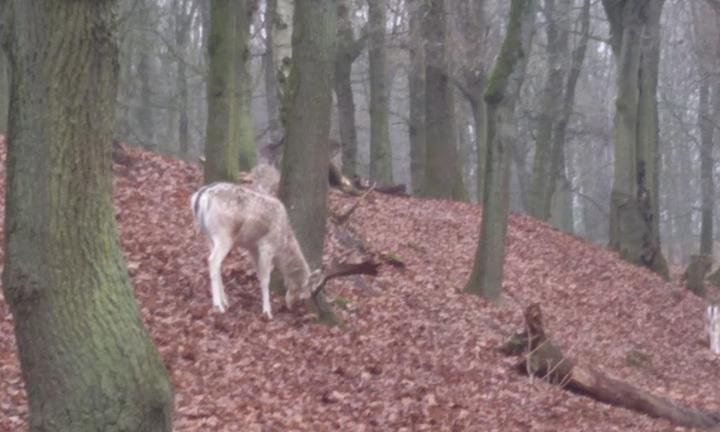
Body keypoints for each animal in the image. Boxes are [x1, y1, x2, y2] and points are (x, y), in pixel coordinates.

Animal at [191, 182, 320, 318]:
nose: (291, 308)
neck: (282, 245)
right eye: (304, 297)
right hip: (223, 235)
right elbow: (265, 279)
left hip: (209, 236)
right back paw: (218, 306)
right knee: (213, 260)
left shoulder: (252, 248)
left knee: (217, 263)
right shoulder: (266, 246)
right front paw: (267, 311)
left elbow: (258, 274)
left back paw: (225, 301)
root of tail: (200, 197)